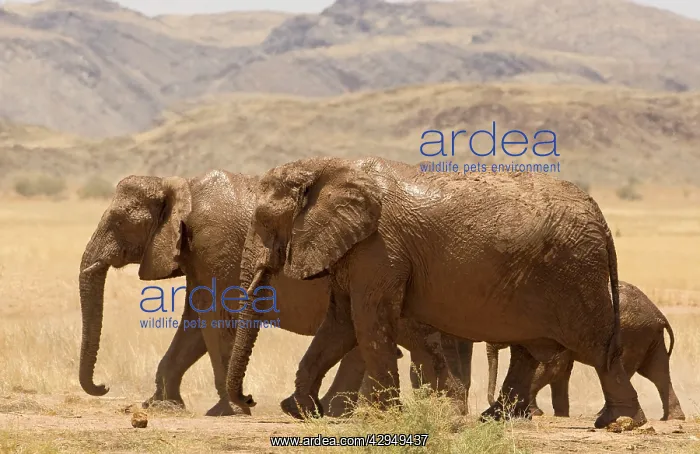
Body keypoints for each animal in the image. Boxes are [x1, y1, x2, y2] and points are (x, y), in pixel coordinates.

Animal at [77, 170, 468, 417]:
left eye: (117, 222)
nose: (103, 386)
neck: (179, 185)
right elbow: (194, 327)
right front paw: (163, 406)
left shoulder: (214, 245)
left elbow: (214, 320)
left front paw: (228, 412)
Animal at [225, 156, 647, 430]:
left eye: (263, 221)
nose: (249, 399)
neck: (326, 166)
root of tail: (601, 218)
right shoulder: (356, 249)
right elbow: (339, 324)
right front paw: (298, 410)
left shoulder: (379, 249)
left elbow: (368, 322)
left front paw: (380, 417)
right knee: (530, 351)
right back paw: (493, 419)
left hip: (574, 274)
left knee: (597, 347)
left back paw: (621, 422)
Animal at [485, 281, 685, 421]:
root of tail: (659, 315)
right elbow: (560, 372)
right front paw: (561, 415)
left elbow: (551, 369)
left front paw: (536, 413)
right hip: (648, 336)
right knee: (657, 373)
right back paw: (673, 418)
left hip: (633, 335)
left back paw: (603, 415)